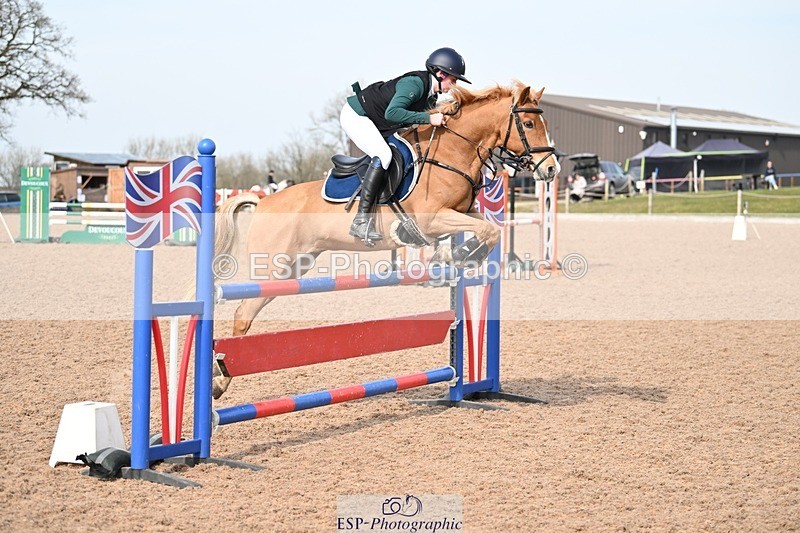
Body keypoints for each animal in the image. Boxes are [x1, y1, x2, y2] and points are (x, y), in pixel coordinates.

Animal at [211, 82, 559, 398]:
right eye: (529, 124)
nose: (551, 170)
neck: (451, 152)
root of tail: (263, 202)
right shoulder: (431, 219)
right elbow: (486, 231)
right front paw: (458, 256)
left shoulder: (464, 211)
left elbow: (491, 228)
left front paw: (457, 256)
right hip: (274, 267)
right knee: (242, 314)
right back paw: (218, 381)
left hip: (293, 269)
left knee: (249, 312)